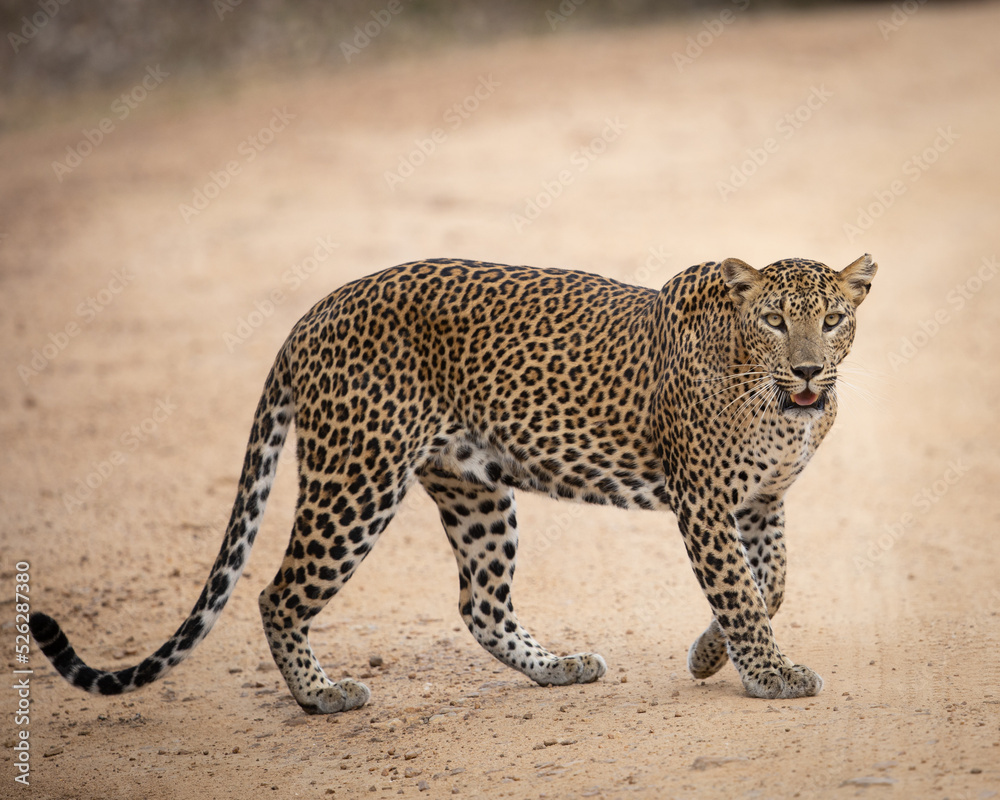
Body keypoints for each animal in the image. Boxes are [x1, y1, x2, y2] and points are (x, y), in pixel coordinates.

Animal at [31, 253, 876, 714]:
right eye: (774, 320)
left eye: (833, 319)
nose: (809, 370)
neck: (775, 399)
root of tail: (312, 314)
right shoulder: (704, 501)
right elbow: (741, 590)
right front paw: (768, 674)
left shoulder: (761, 502)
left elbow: (770, 583)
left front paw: (711, 655)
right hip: (357, 478)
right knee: (278, 594)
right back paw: (320, 696)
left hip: (474, 491)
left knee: (480, 604)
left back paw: (559, 668)